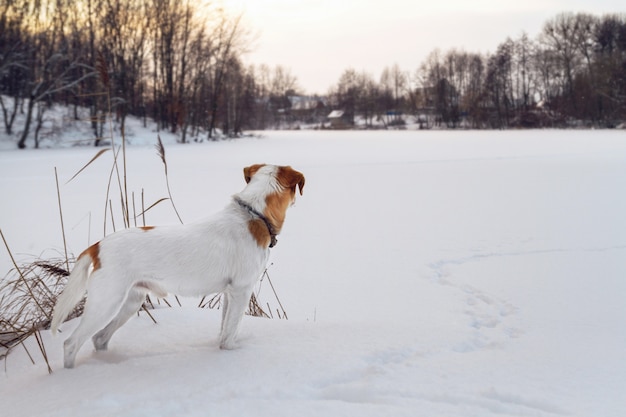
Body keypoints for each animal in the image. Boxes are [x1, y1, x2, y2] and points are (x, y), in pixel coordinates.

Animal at [51, 162, 302, 368]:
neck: (254, 215)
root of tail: (98, 245)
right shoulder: (241, 290)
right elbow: (230, 331)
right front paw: (231, 352)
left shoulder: (228, 293)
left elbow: (224, 328)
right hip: (106, 303)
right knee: (71, 343)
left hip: (131, 302)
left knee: (99, 338)